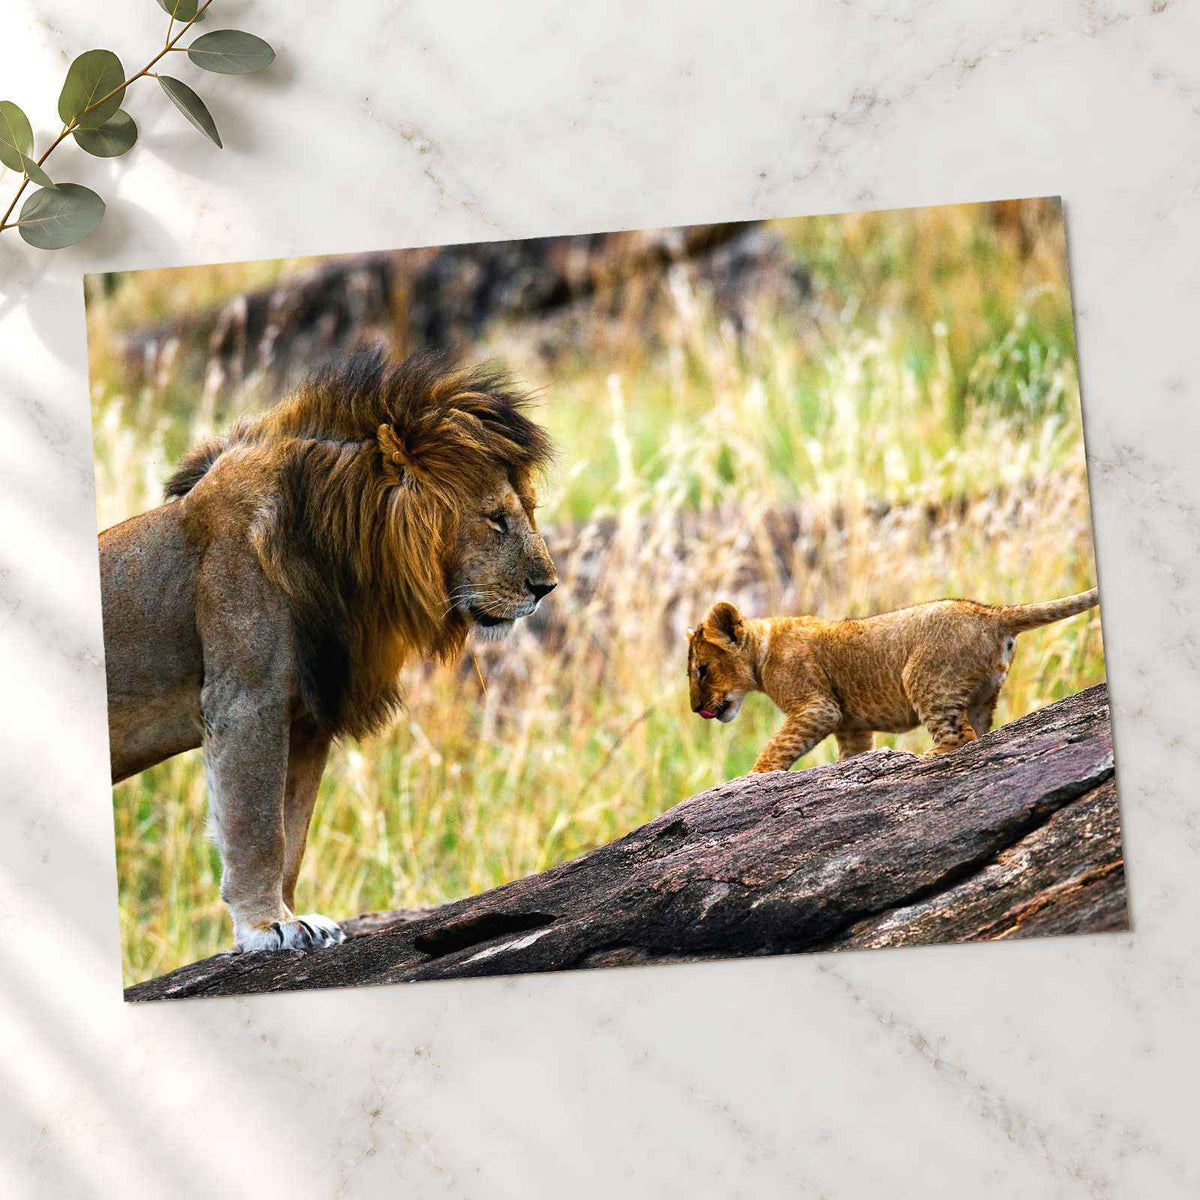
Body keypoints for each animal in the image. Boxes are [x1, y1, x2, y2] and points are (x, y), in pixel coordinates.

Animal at [100, 350, 557, 953]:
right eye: (496, 518)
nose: (547, 586)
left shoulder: (308, 718)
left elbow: (291, 832)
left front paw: (297, 918)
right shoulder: (245, 701)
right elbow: (257, 827)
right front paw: (265, 925)